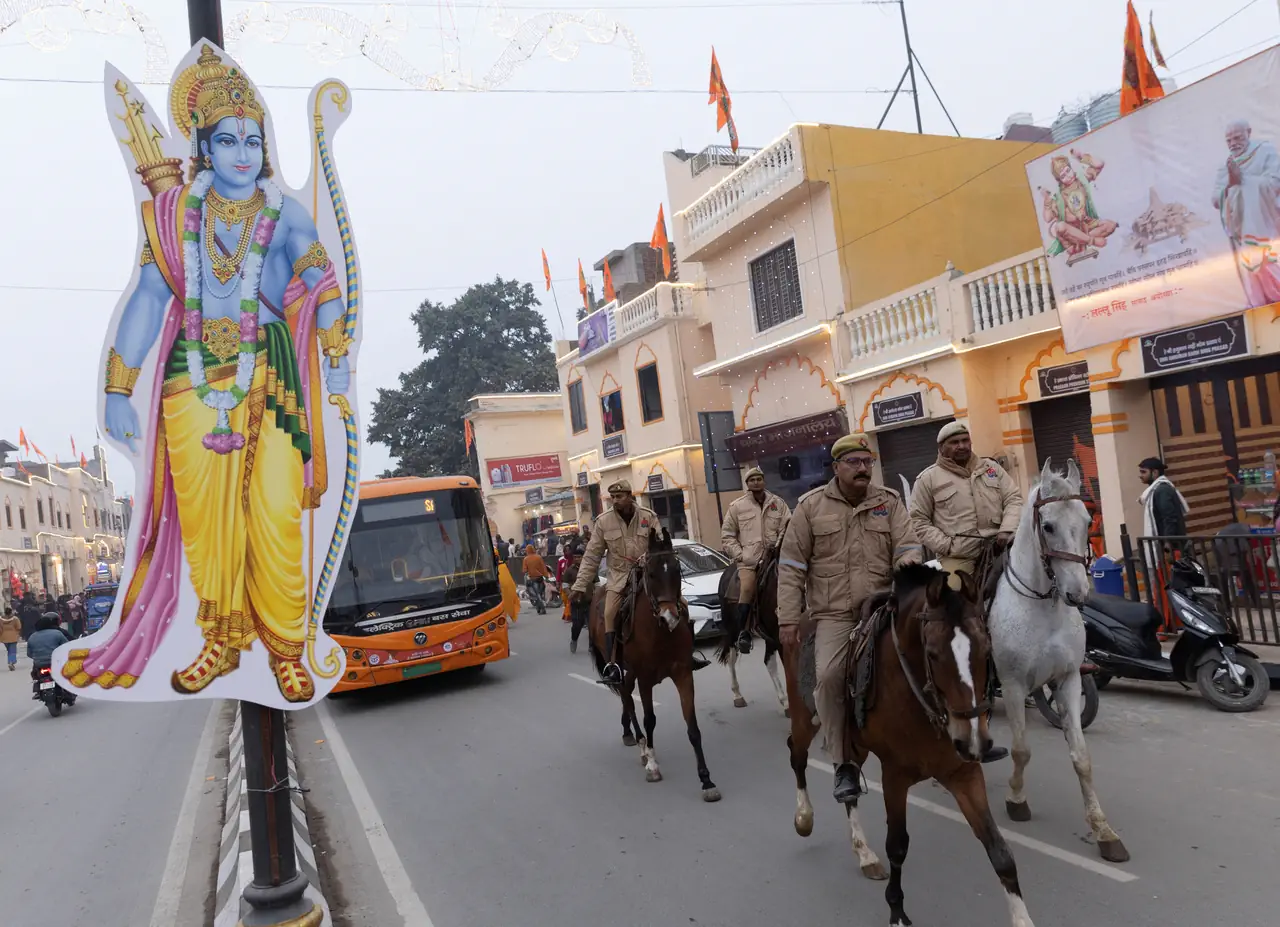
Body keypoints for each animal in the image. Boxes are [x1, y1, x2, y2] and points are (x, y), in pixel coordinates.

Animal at [588, 524, 721, 798]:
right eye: (650, 573)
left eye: (678, 569)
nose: (669, 617)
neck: (660, 632)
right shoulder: (645, 679)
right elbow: (650, 720)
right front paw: (652, 764)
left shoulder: (683, 674)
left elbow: (693, 727)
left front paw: (706, 779)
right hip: (621, 669)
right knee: (628, 701)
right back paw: (640, 744)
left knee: (626, 698)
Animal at [783, 560, 1034, 926]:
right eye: (933, 653)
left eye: (987, 650)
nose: (974, 740)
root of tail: (802, 617)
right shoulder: (895, 776)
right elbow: (898, 845)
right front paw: (897, 911)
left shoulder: (964, 773)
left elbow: (998, 849)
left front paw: (1021, 918)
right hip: (807, 716)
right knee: (796, 754)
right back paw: (804, 817)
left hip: (853, 741)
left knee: (847, 778)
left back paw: (864, 852)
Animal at [988, 460, 1131, 865]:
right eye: (1048, 526)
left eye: (1087, 520)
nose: (1078, 593)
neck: (1041, 605)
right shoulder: (1014, 684)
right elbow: (1022, 750)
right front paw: (1016, 799)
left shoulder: (1068, 680)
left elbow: (1082, 758)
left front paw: (1103, 830)